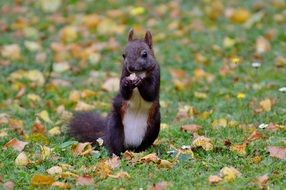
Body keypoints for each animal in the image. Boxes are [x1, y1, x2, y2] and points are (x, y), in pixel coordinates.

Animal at [68, 28, 160, 156]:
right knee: (115, 145)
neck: (139, 73)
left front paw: (140, 81)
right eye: (123, 55)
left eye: (144, 54)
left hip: (153, 126)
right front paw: (126, 83)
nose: (131, 67)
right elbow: (124, 93)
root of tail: (131, 145)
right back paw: (116, 154)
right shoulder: (124, 73)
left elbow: (150, 93)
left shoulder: (156, 74)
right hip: (115, 125)